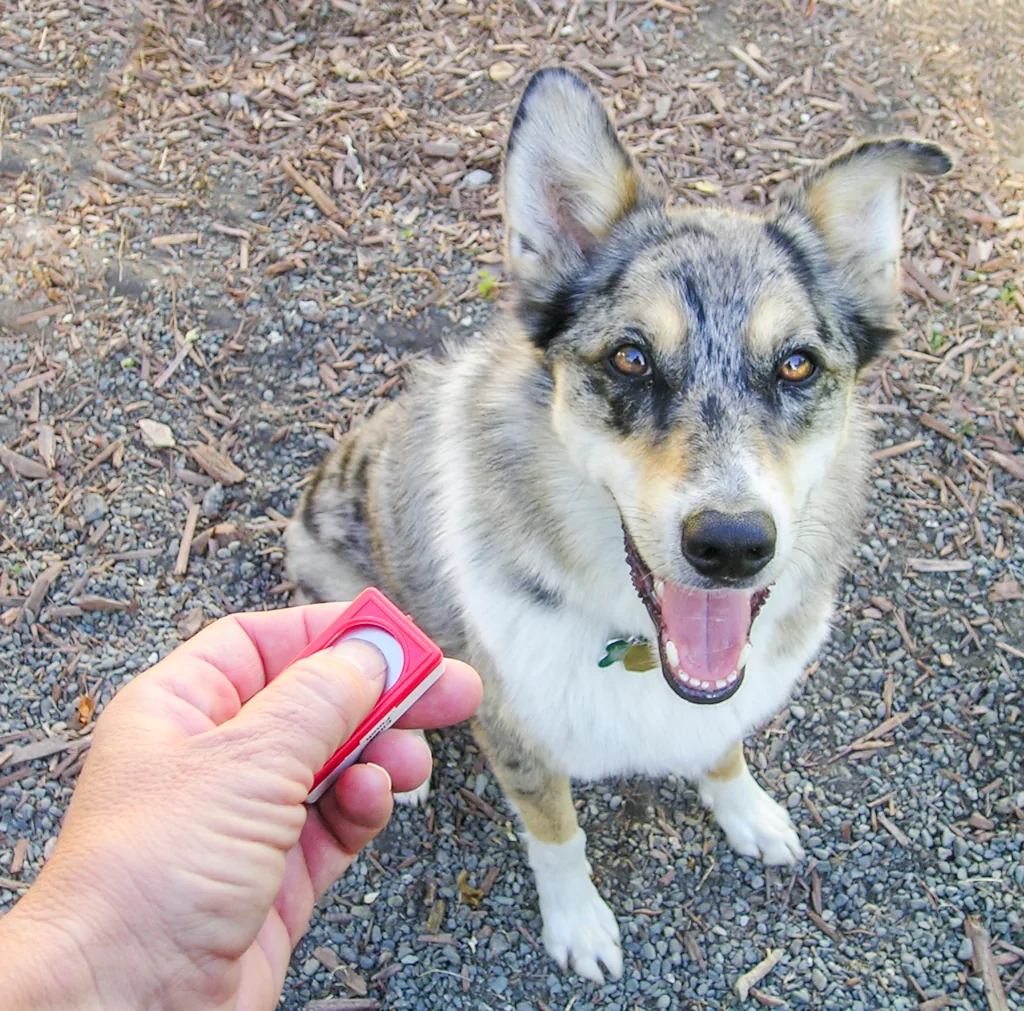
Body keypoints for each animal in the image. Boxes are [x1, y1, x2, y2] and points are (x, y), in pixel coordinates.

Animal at [286, 69, 950, 979]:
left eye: (796, 365)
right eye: (631, 358)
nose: (732, 545)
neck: (637, 648)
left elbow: (723, 745)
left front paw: (748, 811)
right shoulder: (515, 729)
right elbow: (556, 832)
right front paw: (579, 924)